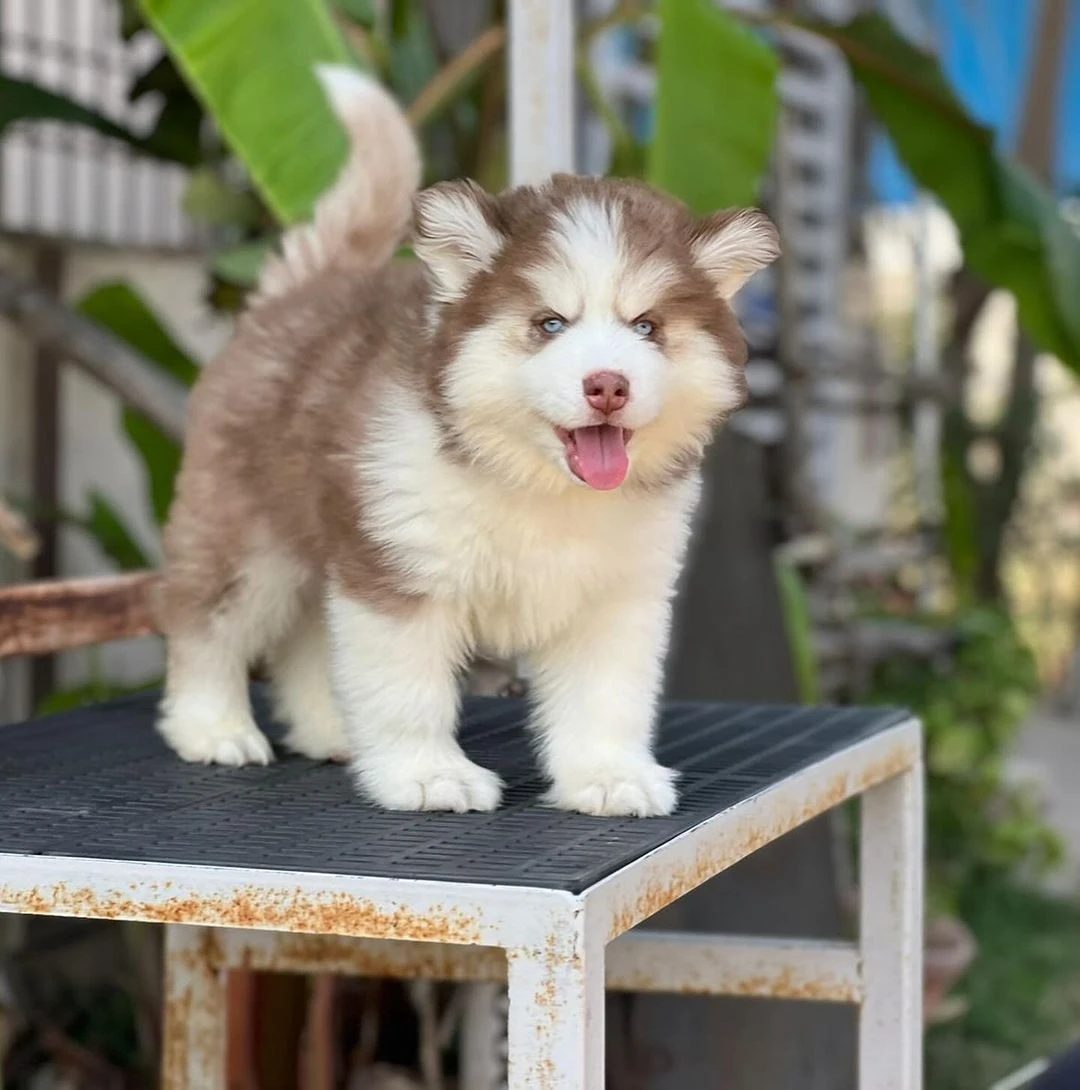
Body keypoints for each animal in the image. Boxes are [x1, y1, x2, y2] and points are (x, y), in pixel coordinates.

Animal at [153, 65, 775, 819]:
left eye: (647, 327)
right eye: (550, 324)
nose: (608, 385)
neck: (537, 483)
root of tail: (305, 290)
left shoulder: (618, 597)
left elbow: (607, 698)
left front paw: (606, 774)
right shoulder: (399, 574)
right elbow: (408, 690)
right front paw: (427, 775)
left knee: (309, 639)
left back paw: (331, 730)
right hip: (249, 538)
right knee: (207, 625)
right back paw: (211, 726)